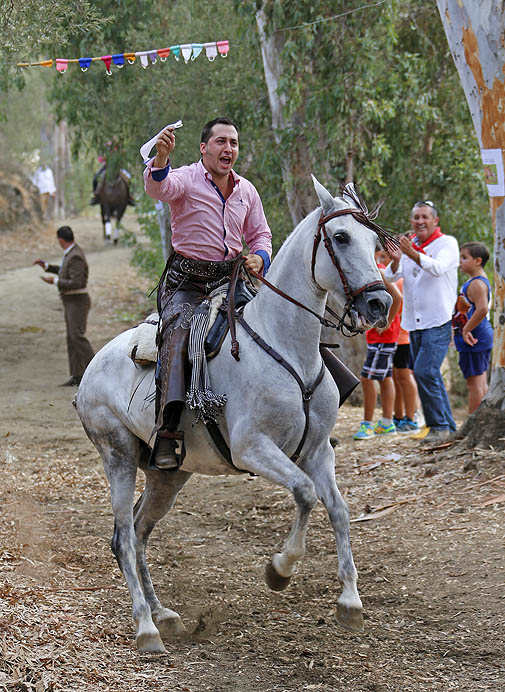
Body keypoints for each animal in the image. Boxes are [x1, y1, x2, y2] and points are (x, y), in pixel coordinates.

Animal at [75, 176, 392, 652]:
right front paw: (280, 569)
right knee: (126, 538)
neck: (285, 345)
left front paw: (350, 602)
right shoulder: (253, 448)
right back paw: (146, 628)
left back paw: (162, 614)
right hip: (118, 457)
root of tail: (91, 370)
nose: (379, 304)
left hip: (168, 474)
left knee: (137, 531)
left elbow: (338, 508)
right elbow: (305, 494)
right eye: (340, 237)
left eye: (374, 242)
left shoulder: (319, 451)